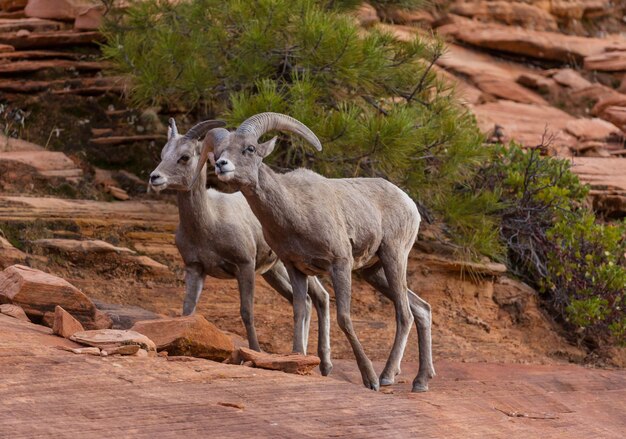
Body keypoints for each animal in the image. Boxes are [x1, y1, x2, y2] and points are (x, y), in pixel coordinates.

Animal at [147, 117, 332, 374]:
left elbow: (247, 312)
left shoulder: (244, 266)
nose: (155, 178)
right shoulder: (195, 268)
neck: (209, 222)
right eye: (163, 153)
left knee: (320, 297)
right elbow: (187, 310)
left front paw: (254, 352)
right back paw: (305, 356)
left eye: (184, 157)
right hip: (275, 271)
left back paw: (324, 365)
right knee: (304, 300)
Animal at [194, 112, 434, 392]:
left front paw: (370, 379)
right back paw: (420, 381)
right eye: (219, 151)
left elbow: (344, 318)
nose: (222, 165)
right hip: (373, 272)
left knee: (404, 314)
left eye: (250, 148)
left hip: (393, 258)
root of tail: (409, 203)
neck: (295, 212)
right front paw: (298, 359)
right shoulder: (295, 268)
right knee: (421, 309)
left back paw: (386, 376)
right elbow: (299, 311)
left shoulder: (340, 264)